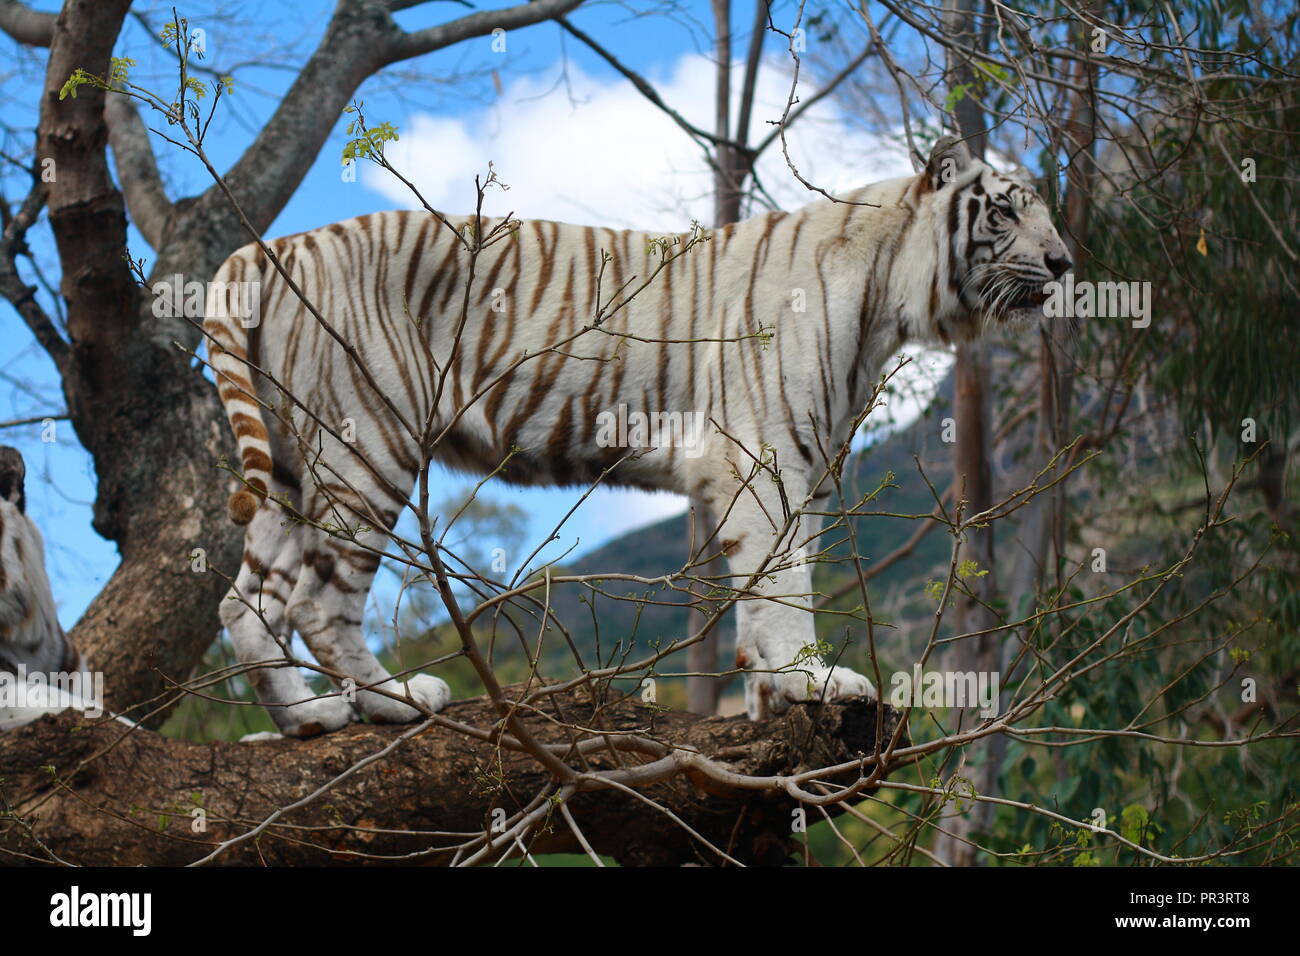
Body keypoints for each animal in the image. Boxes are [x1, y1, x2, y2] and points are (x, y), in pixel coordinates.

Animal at [208, 134, 1071, 738]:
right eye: (1006, 209)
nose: (1065, 262)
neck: (889, 300)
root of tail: (274, 244)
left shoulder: (801, 471)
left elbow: (770, 587)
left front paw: (770, 694)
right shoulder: (764, 459)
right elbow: (782, 586)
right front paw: (812, 682)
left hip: (293, 463)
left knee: (246, 603)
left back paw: (307, 720)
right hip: (367, 443)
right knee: (319, 600)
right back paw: (394, 701)